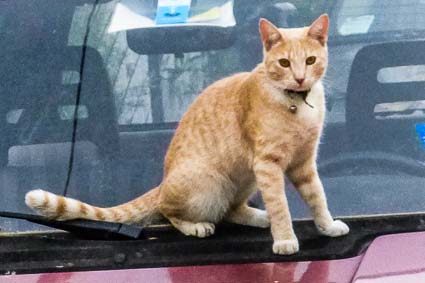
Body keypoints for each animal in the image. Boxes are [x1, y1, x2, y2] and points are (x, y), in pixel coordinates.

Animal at [24, 14, 348, 255]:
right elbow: (280, 204)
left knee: (231, 209)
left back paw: (259, 216)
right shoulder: (268, 164)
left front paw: (328, 226)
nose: (300, 78)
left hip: (245, 177)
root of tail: (163, 182)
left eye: (310, 60)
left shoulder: (303, 162)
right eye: (284, 63)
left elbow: (317, 197)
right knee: (170, 211)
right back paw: (197, 225)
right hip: (211, 182)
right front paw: (284, 239)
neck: (297, 103)